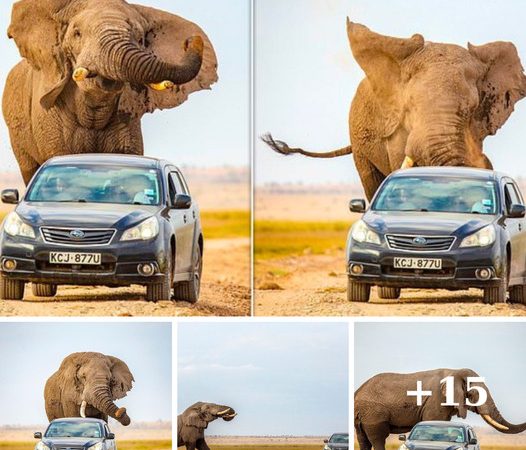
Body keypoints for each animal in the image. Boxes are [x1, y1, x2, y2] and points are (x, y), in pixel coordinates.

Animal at [354, 370, 526, 450]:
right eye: (474, 394)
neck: (455, 372)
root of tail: (358, 391)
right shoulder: (436, 400)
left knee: (364, 440)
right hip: (373, 413)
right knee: (378, 438)